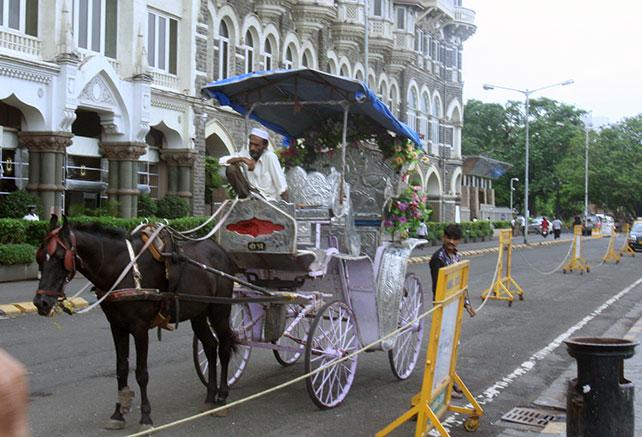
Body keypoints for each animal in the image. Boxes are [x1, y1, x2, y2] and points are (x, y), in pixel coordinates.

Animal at [30, 215, 235, 430]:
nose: (41, 303)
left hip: (220, 310)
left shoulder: (139, 328)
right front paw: (118, 414)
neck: (122, 269)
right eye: (39, 257)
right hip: (199, 313)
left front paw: (146, 417)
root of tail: (221, 250)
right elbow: (121, 369)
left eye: (61, 257)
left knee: (224, 347)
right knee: (211, 346)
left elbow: (141, 373)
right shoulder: (117, 326)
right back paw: (210, 398)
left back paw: (222, 398)